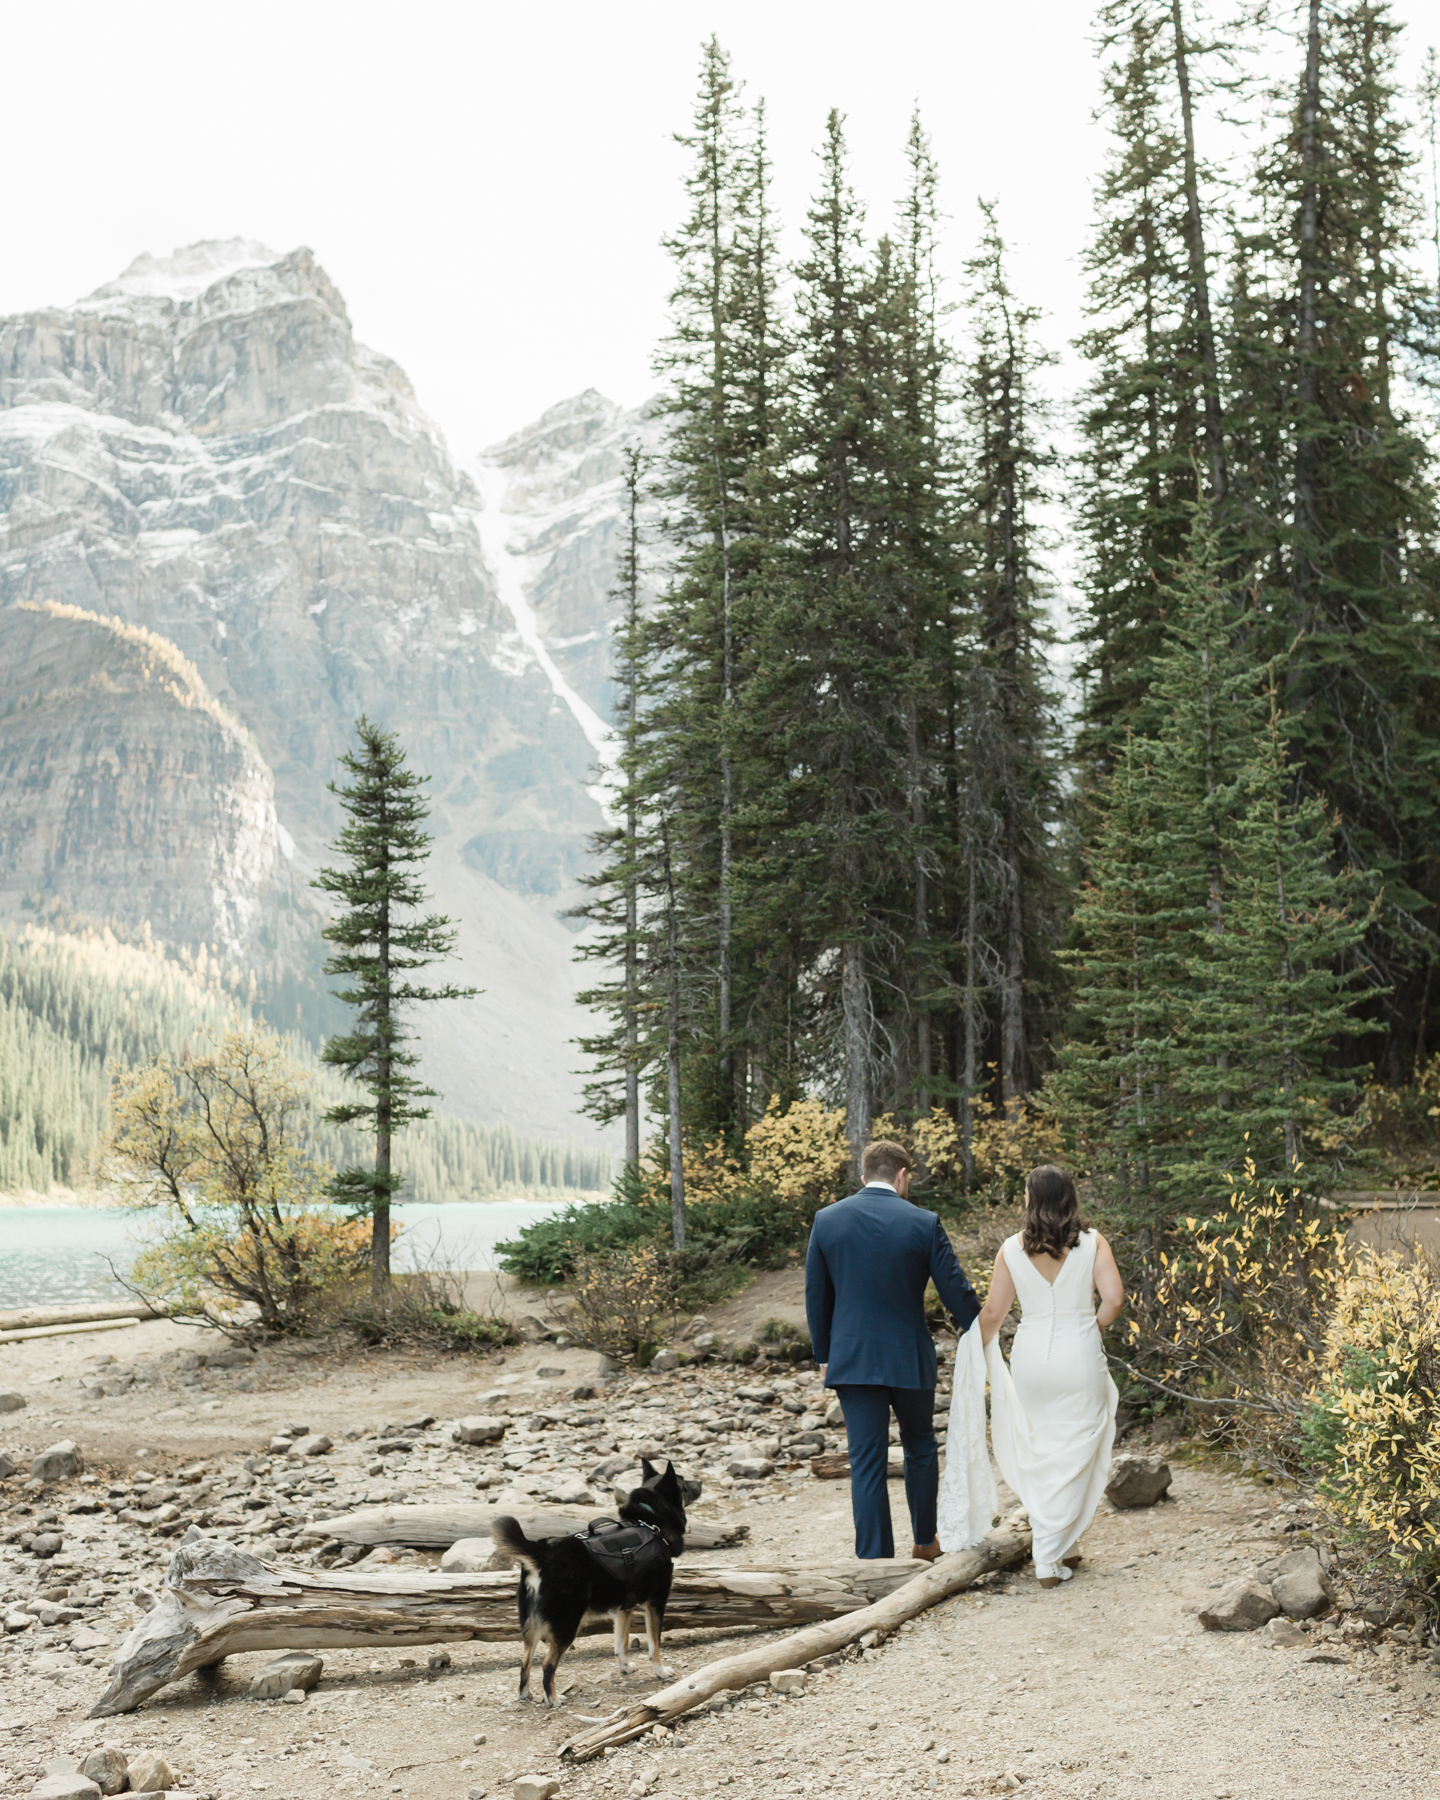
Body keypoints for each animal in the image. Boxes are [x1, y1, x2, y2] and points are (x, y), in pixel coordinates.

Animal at [496, 1454, 691, 1706]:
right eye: (684, 1484)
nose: (699, 1483)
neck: (650, 1523)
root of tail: (541, 1552)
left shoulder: (623, 1608)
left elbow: (621, 1644)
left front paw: (625, 1668)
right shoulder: (656, 1603)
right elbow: (654, 1645)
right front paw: (660, 1671)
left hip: (531, 1626)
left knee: (525, 1662)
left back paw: (525, 1695)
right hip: (566, 1625)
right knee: (547, 1665)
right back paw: (553, 1699)